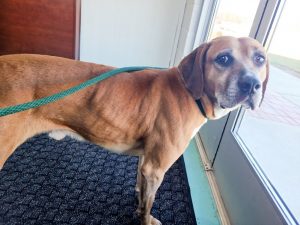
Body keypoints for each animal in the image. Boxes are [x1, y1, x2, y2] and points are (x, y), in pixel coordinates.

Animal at [0, 36, 268, 224]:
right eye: (223, 59)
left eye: (260, 59)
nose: (252, 84)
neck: (191, 93)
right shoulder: (156, 168)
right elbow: (148, 206)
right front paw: (146, 219)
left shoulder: (146, 162)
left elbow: (141, 189)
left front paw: (138, 201)